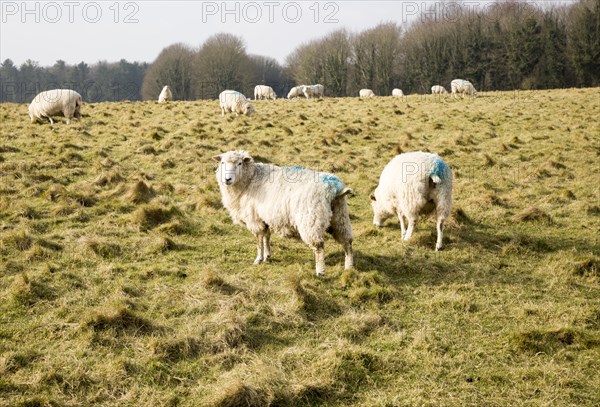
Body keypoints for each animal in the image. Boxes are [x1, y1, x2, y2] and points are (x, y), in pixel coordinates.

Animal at [213, 151, 354, 278]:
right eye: (222, 163)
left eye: (240, 163)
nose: (227, 179)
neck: (250, 179)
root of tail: (334, 188)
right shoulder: (265, 218)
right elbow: (267, 237)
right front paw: (267, 256)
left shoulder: (255, 218)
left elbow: (259, 240)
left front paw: (258, 259)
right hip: (340, 217)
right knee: (347, 242)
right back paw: (349, 267)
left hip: (311, 220)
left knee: (319, 247)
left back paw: (320, 271)